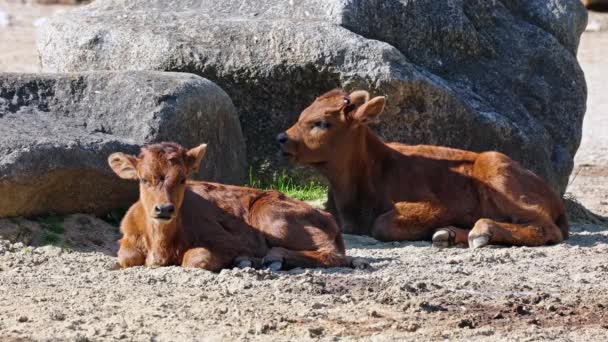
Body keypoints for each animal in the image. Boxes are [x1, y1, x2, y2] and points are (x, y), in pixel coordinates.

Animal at [107, 141, 364, 270]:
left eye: (182, 178)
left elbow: (196, 258)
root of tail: (329, 218)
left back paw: (272, 258)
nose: (164, 209)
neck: (161, 246)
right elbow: (127, 257)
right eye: (143, 179)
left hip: (270, 216)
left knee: (333, 253)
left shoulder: (230, 241)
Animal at [278, 89, 568, 247]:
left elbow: (381, 225)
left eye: (321, 123)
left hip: (497, 170)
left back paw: (481, 231)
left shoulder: (437, 206)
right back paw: (447, 235)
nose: (281, 138)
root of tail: (554, 196)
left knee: (543, 226)